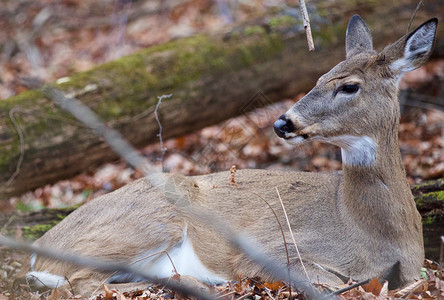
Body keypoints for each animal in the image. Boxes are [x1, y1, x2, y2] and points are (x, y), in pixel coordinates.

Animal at [25, 15, 438, 296]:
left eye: (349, 86)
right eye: (319, 78)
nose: (283, 122)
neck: (372, 232)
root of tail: (37, 251)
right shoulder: (270, 248)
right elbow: (324, 283)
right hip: (151, 219)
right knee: (83, 283)